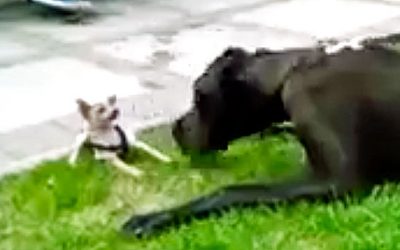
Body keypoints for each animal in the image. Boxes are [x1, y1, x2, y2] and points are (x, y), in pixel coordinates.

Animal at [122, 38, 400, 236]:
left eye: (199, 96)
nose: (176, 127)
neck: (291, 71)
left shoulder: (335, 182)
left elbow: (230, 191)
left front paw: (155, 218)